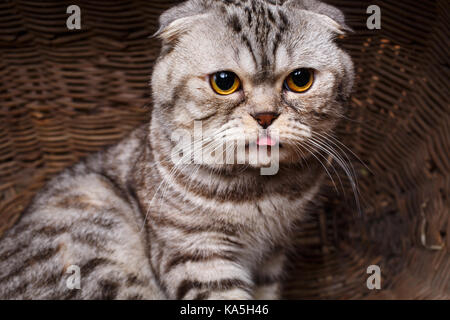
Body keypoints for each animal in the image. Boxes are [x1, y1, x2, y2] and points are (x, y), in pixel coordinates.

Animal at [0, 0, 356, 300]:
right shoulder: (196, 253)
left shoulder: (272, 255)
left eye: (300, 79)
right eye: (224, 81)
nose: (265, 116)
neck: (262, 193)